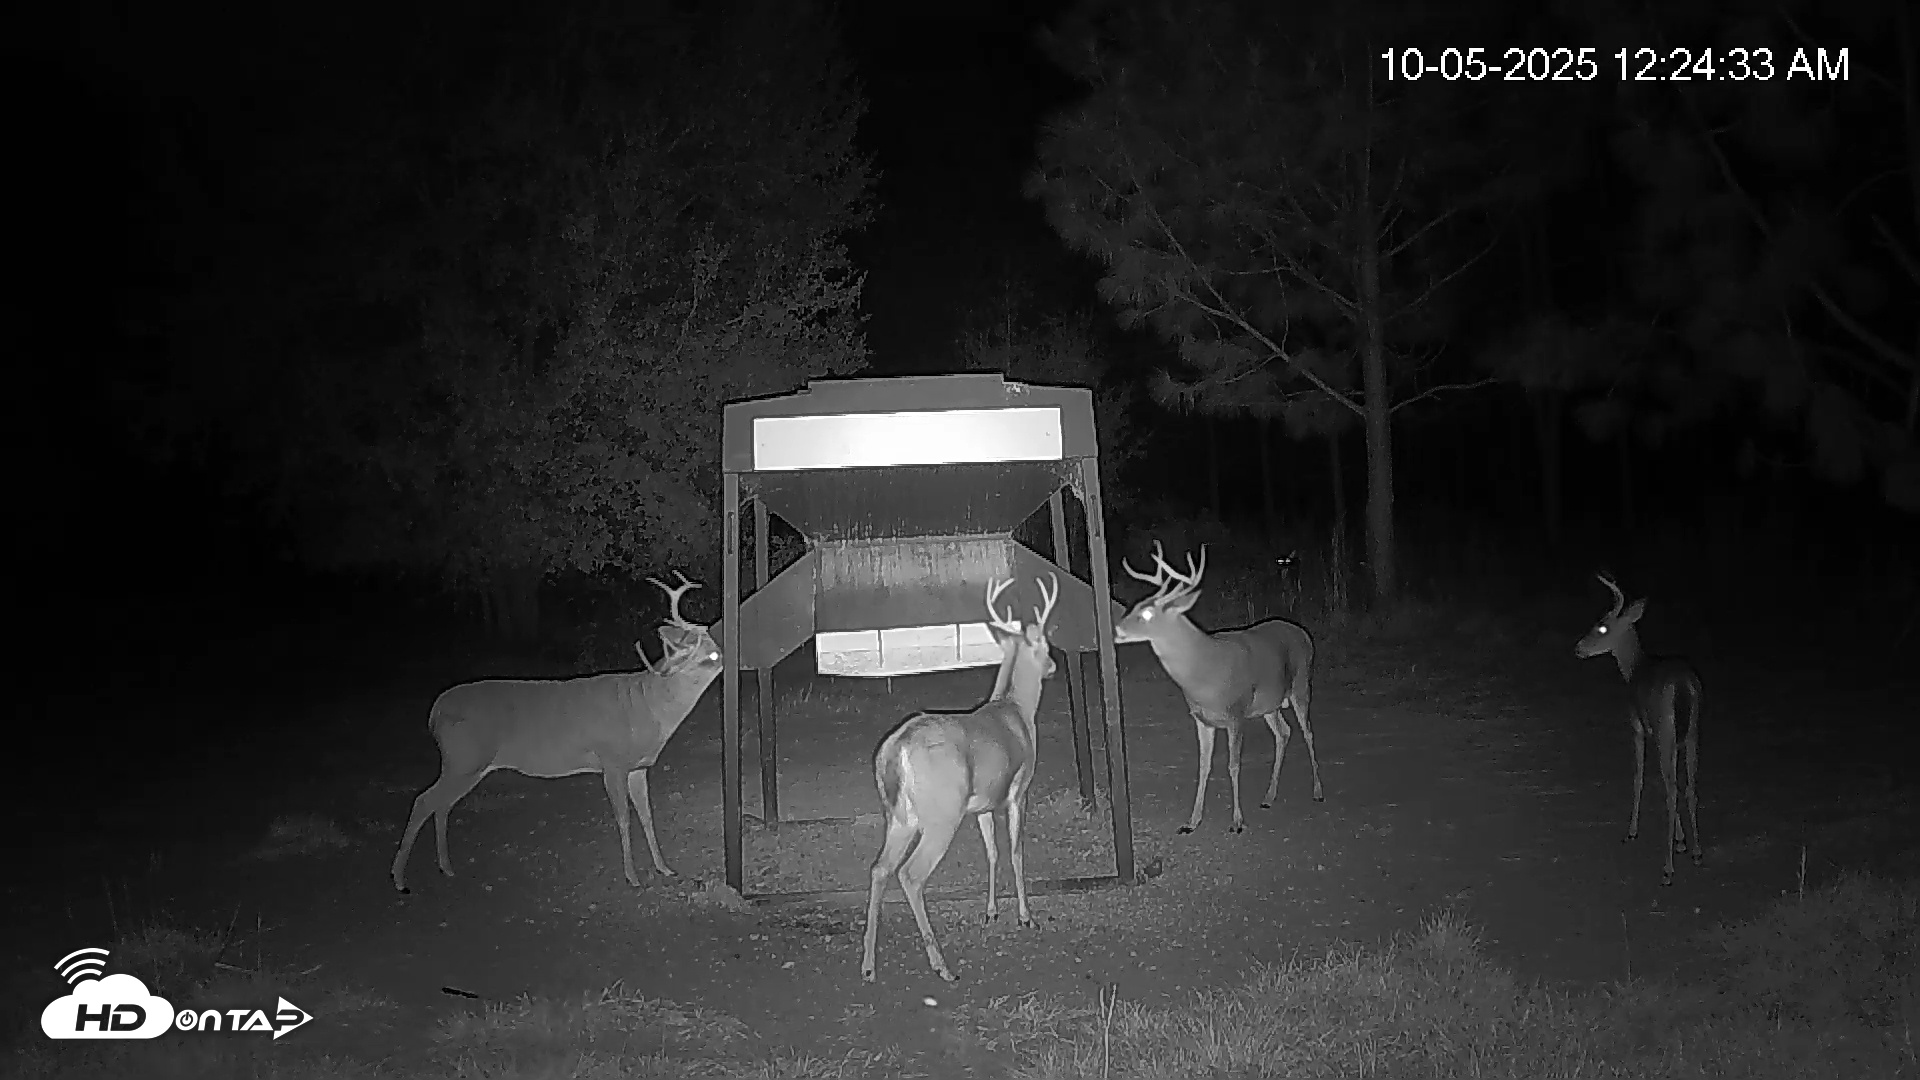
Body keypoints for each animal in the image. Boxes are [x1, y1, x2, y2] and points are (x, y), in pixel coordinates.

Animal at [390, 572, 722, 893]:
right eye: (710, 655)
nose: (726, 656)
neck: (649, 706)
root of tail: (434, 712)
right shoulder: (612, 761)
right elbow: (624, 818)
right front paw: (632, 876)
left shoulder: (638, 767)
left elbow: (647, 815)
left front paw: (664, 867)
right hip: (463, 759)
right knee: (423, 801)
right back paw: (399, 878)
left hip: (469, 765)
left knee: (441, 804)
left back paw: (445, 867)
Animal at [861, 574, 1060, 983]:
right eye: (1045, 643)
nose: (1053, 664)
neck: (1017, 709)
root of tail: (895, 749)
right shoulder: (1019, 790)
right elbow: (1016, 851)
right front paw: (1026, 917)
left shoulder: (981, 805)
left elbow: (992, 851)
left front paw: (991, 911)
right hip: (941, 815)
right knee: (911, 874)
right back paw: (942, 965)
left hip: (899, 816)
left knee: (879, 869)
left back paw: (869, 964)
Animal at [1116, 542, 1320, 834]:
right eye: (1136, 606)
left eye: (1147, 613)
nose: (1117, 628)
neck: (1204, 674)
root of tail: (1303, 633)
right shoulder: (1202, 719)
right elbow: (1204, 766)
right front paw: (1191, 822)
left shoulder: (1236, 714)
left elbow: (1233, 765)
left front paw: (1237, 822)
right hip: (1269, 704)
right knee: (1284, 733)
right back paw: (1269, 797)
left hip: (1301, 685)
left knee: (1308, 733)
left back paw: (1317, 791)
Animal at [1574, 571, 1703, 886]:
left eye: (1602, 626)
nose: (1578, 648)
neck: (1634, 668)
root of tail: (1684, 686)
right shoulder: (1664, 735)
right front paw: (1682, 841)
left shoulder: (1639, 727)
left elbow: (1639, 776)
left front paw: (1632, 831)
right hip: (1691, 732)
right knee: (1690, 786)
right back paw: (1696, 852)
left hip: (1667, 729)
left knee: (1672, 790)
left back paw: (1667, 870)